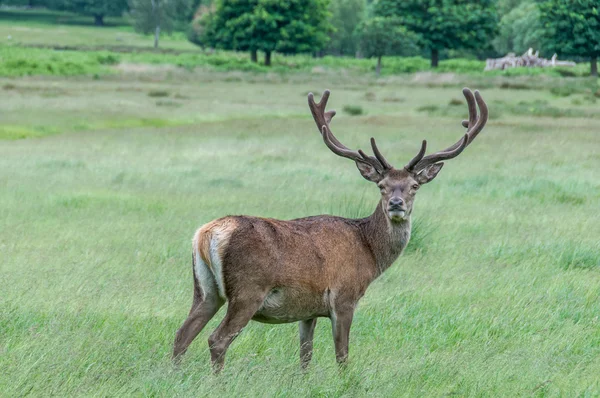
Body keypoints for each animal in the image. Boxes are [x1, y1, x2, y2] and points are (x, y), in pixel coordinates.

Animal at [172, 88, 488, 374]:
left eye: (414, 186)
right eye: (382, 186)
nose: (396, 204)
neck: (369, 252)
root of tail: (207, 233)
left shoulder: (307, 310)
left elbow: (305, 356)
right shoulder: (344, 297)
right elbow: (342, 355)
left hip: (205, 289)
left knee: (181, 335)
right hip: (248, 290)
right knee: (217, 339)